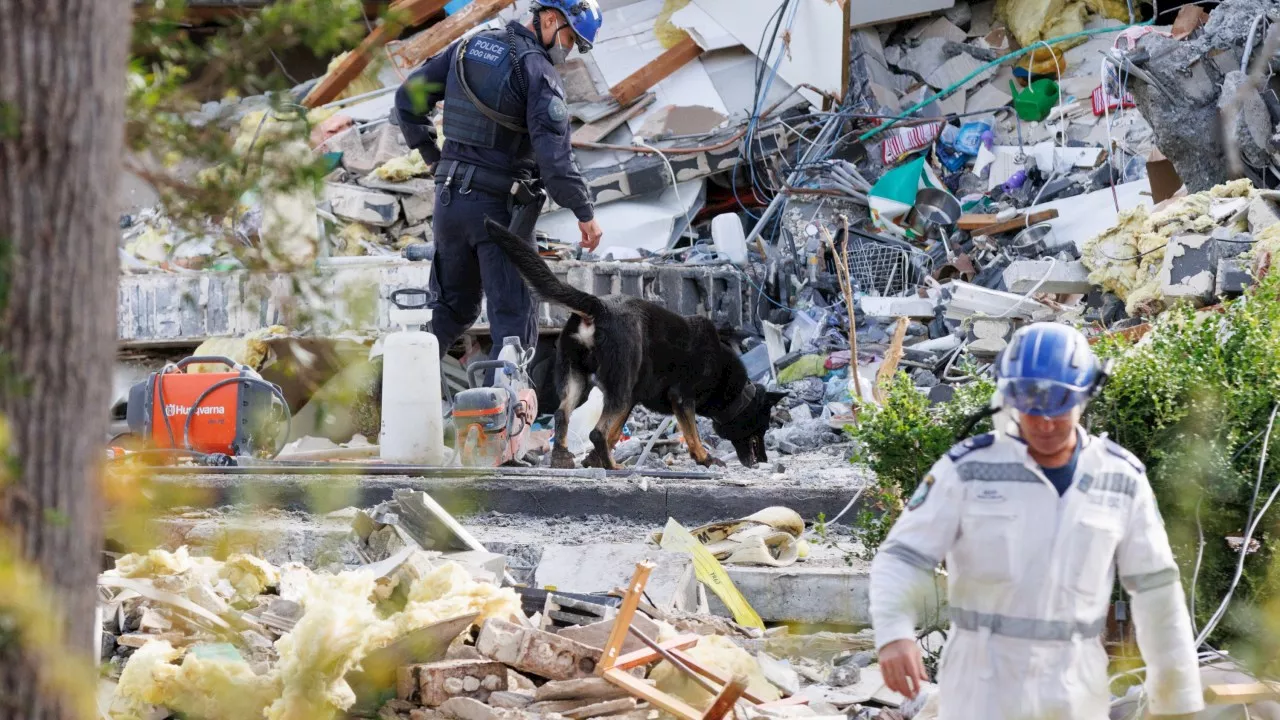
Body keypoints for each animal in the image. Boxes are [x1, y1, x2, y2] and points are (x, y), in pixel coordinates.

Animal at [481, 215, 778, 468]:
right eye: (763, 425)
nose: (763, 460)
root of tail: (598, 307)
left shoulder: (634, 398)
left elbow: (614, 433)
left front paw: (592, 460)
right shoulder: (681, 399)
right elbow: (691, 433)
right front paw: (704, 458)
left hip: (581, 381)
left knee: (563, 415)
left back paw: (563, 457)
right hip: (619, 386)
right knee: (596, 432)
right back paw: (612, 466)